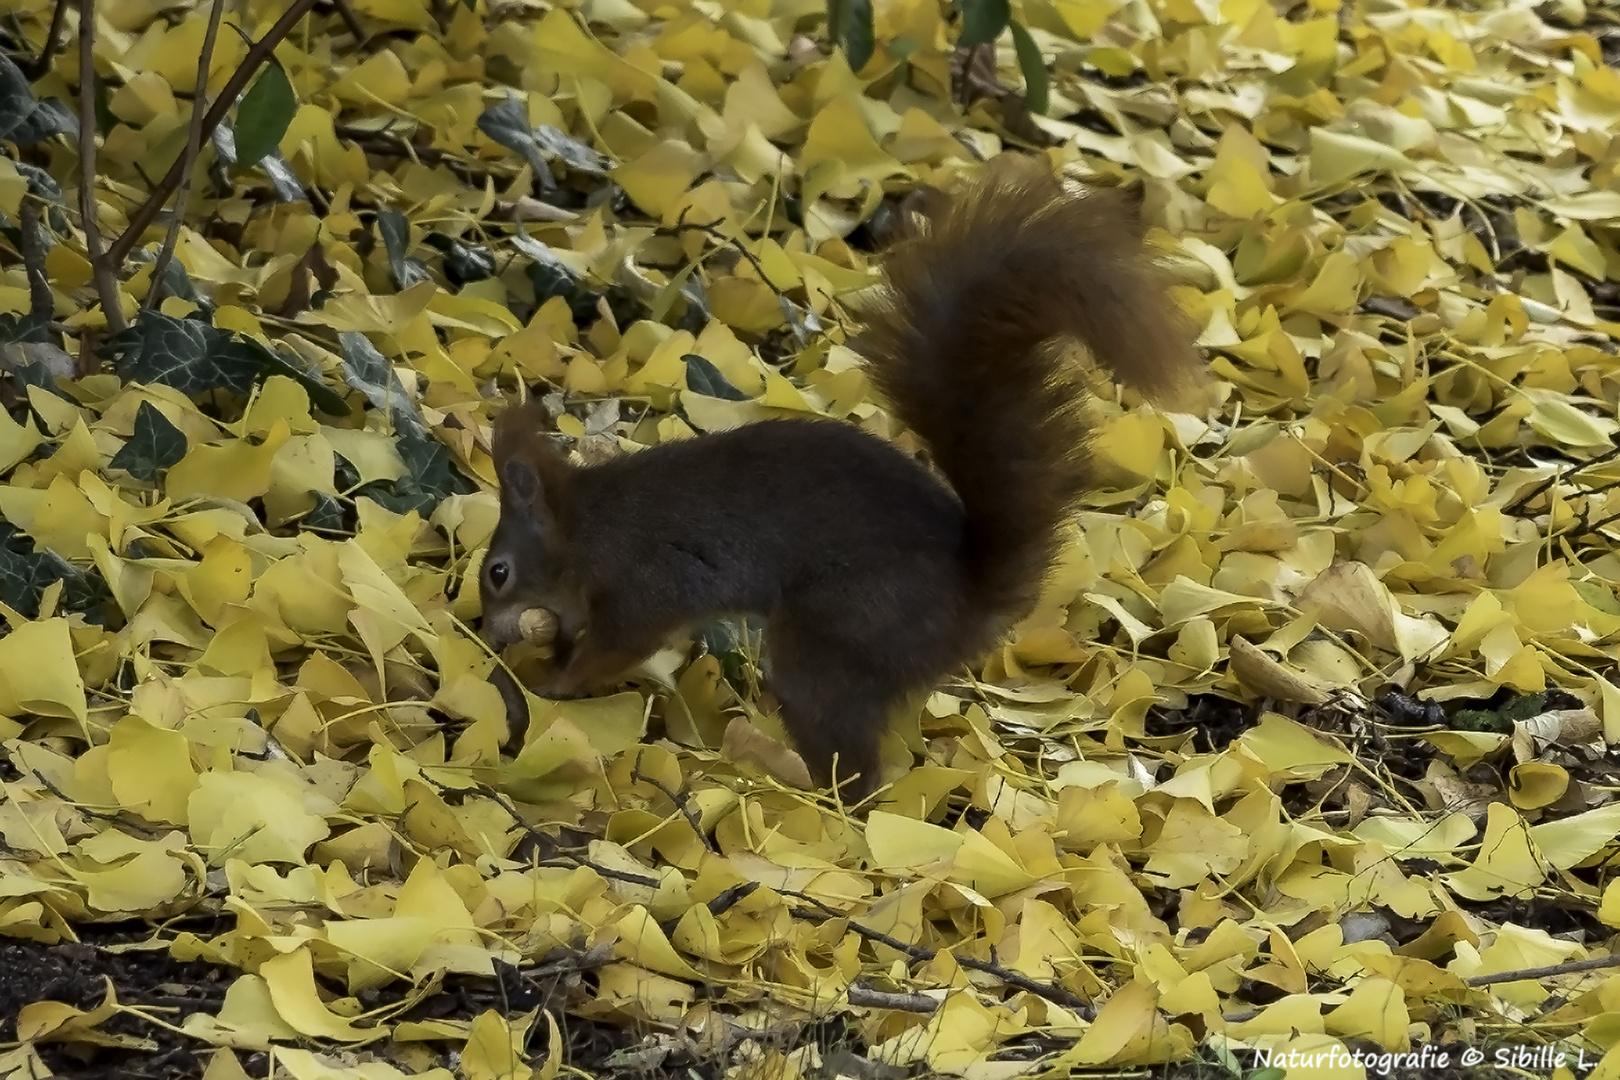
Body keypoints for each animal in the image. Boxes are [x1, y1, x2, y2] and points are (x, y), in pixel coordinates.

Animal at [479, 158, 1205, 803]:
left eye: (497, 572)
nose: (487, 632)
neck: (586, 527)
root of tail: (969, 602)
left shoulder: (644, 585)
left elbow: (617, 647)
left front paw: (557, 682)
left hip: (838, 630)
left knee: (855, 771)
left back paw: (797, 781)